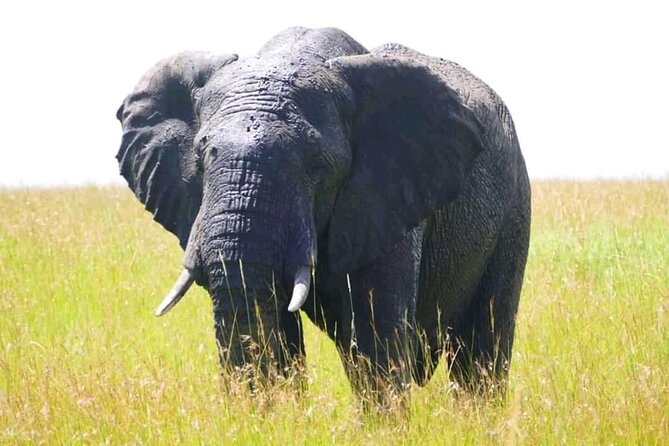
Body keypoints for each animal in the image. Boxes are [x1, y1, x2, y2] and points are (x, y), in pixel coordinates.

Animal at [116, 27, 530, 403]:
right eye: (201, 162)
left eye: (316, 168)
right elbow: (275, 326)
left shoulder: (386, 199)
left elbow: (374, 335)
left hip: (514, 205)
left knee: (482, 346)